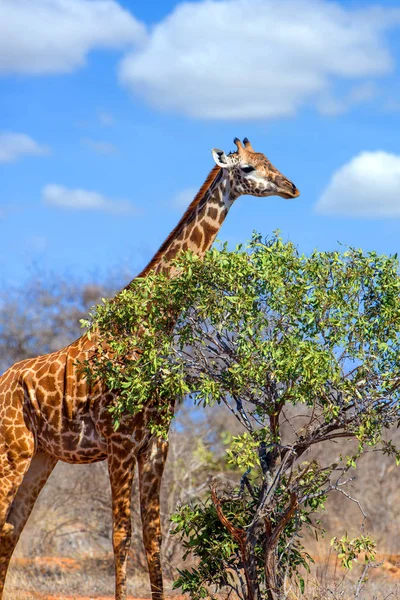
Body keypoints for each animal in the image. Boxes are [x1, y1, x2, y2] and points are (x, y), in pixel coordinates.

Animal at [0, 137, 300, 600]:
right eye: (248, 168)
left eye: (271, 161)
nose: (291, 187)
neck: (151, 326)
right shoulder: (120, 444)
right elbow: (120, 535)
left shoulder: (156, 443)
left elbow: (153, 535)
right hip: (11, 450)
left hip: (40, 457)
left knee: (11, 529)